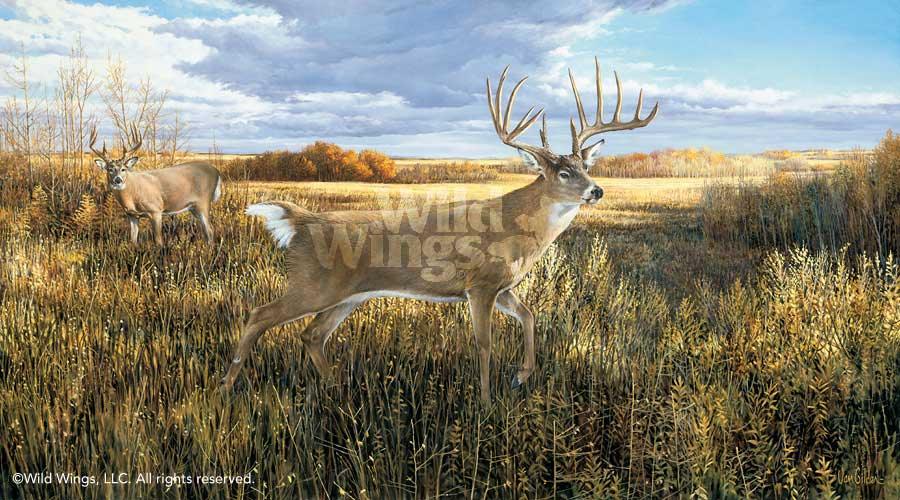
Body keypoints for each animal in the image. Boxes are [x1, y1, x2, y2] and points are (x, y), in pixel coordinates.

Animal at [89, 124, 223, 246]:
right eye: (109, 169)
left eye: (123, 169)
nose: (118, 180)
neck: (132, 195)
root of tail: (217, 171)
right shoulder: (132, 215)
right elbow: (133, 240)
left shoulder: (156, 210)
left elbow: (158, 241)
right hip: (194, 207)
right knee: (206, 232)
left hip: (203, 202)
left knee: (210, 231)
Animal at [221, 58, 658, 401]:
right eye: (565, 173)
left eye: (587, 166)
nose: (596, 190)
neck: (518, 230)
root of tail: (301, 220)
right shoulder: (479, 284)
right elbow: (484, 343)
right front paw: (486, 403)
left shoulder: (503, 287)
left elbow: (530, 316)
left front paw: (520, 376)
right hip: (312, 285)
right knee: (259, 314)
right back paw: (226, 385)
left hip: (347, 296)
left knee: (312, 335)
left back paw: (336, 388)